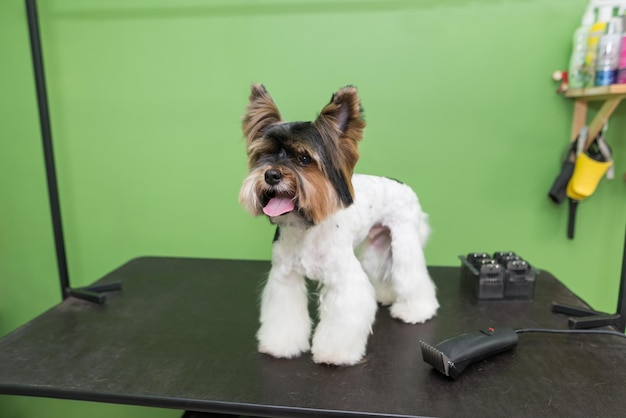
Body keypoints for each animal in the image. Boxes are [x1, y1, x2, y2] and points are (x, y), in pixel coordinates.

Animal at [236, 84, 436, 366]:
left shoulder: (343, 279)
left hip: (404, 239)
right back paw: (386, 294)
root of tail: (401, 184)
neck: (306, 225)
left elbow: (343, 320)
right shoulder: (284, 276)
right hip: (377, 241)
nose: (271, 174)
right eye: (263, 154)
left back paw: (415, 310)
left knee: (411, 274)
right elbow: (284, 315)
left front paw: (335, 353)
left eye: (304, 158)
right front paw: (280, 345)